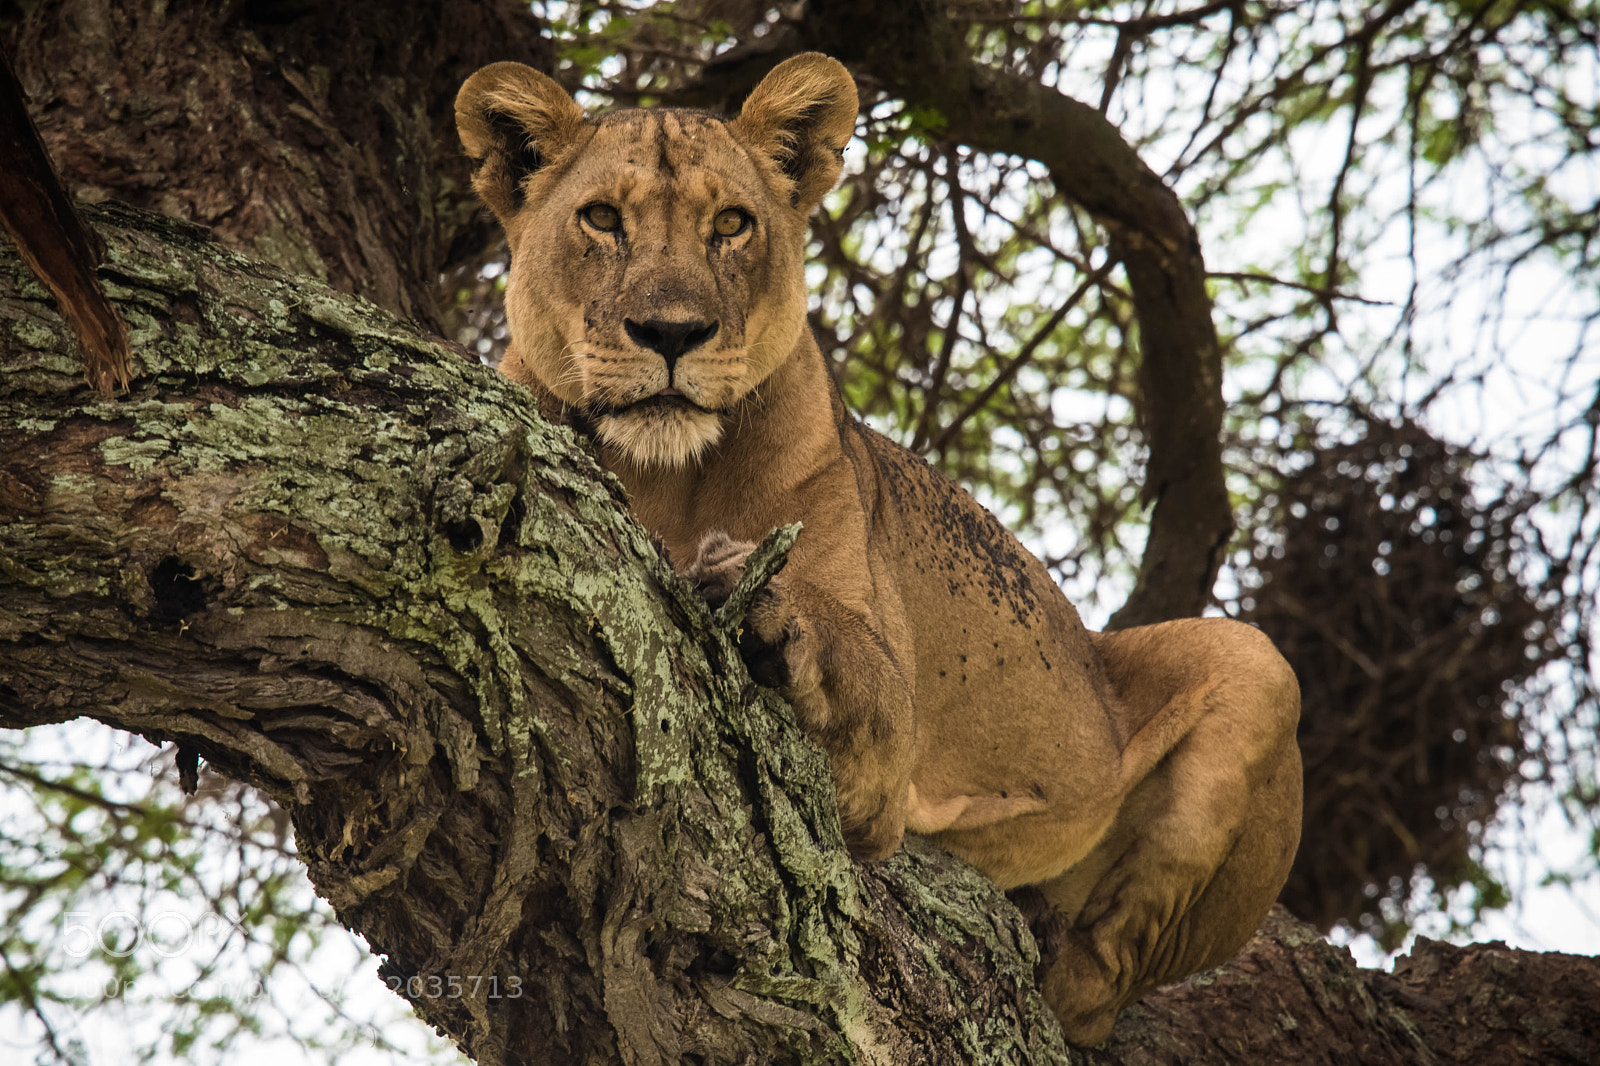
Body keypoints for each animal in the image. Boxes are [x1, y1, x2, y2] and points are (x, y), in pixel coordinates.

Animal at [455, 53, 1302, 1045]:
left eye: (731, 225)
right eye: (601, 219)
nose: (671, 334)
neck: (663, 475)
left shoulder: (890, 717)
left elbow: (855, 664)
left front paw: (765, 609)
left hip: (1255, 664)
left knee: (1097, 990)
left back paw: (1052, 943)